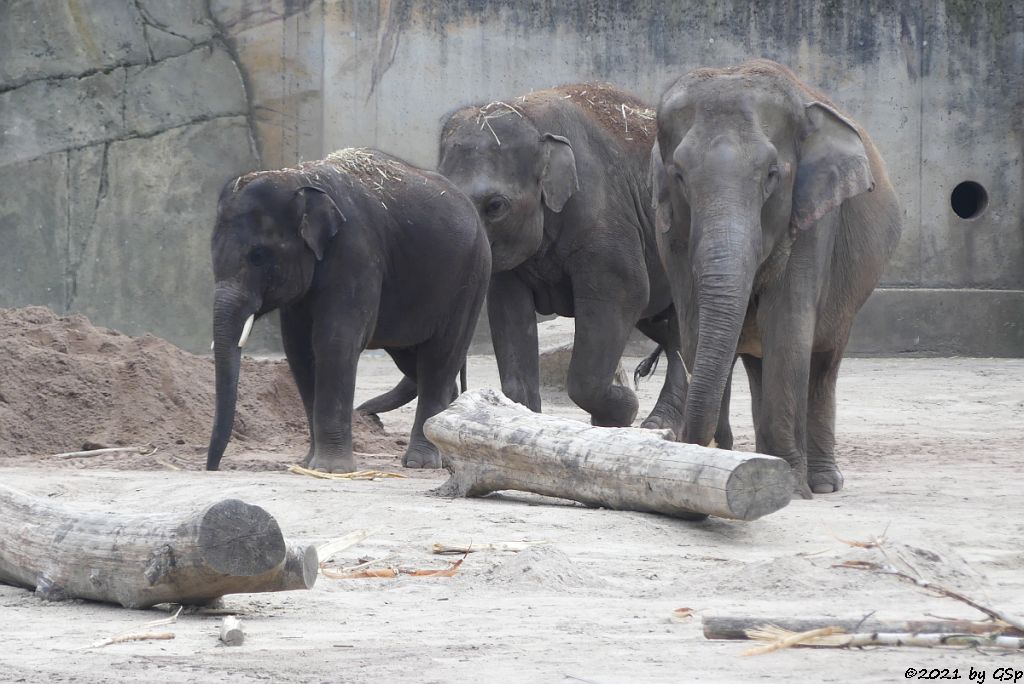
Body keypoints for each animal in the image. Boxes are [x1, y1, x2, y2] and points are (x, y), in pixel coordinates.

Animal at [204, 147, 491, 473]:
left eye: (258, 256)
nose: (212, 468)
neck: (298, 178)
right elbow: (299, 350)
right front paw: (309, 464)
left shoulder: (355, 250)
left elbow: (335, 341)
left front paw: (332, 470)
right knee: (414, 360)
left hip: (471, 278)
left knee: (439, 358)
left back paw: (420, 463)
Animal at [440, 82, 737, 446]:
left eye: (495, 205)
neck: (531, 118)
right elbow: (509, 310)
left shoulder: (605, 222)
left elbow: (625, 293)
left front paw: (622, 411)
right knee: (664, 326)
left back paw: (658, 424)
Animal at [651, 58, 901, 497]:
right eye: (678, 174)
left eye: (772, 174)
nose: (693, 442)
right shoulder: (671, 234)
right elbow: (696, 326)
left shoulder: (813, 218)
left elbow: (786, 327)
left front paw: (791, 485)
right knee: (756, 362)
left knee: (822, 363)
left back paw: (822, 482)